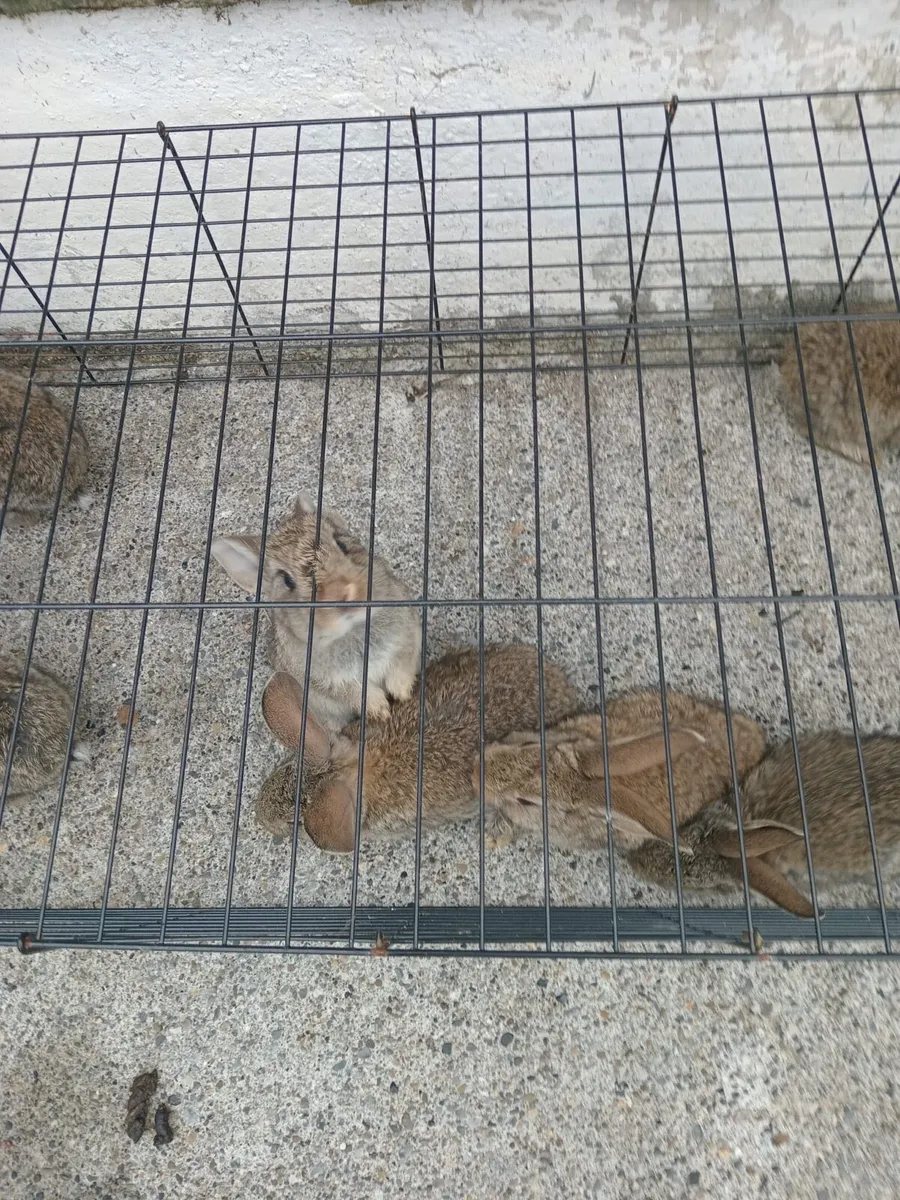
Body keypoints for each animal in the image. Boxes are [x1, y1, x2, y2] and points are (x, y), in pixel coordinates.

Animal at [212, 493, 422, 731]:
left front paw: (402, 693)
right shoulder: (321, 681)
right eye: (287, 580)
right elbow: (353, 692)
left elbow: (401, 664)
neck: (353, 629)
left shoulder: (408, 631)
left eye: (341, 543)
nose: (346, 593)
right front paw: (380, 710)